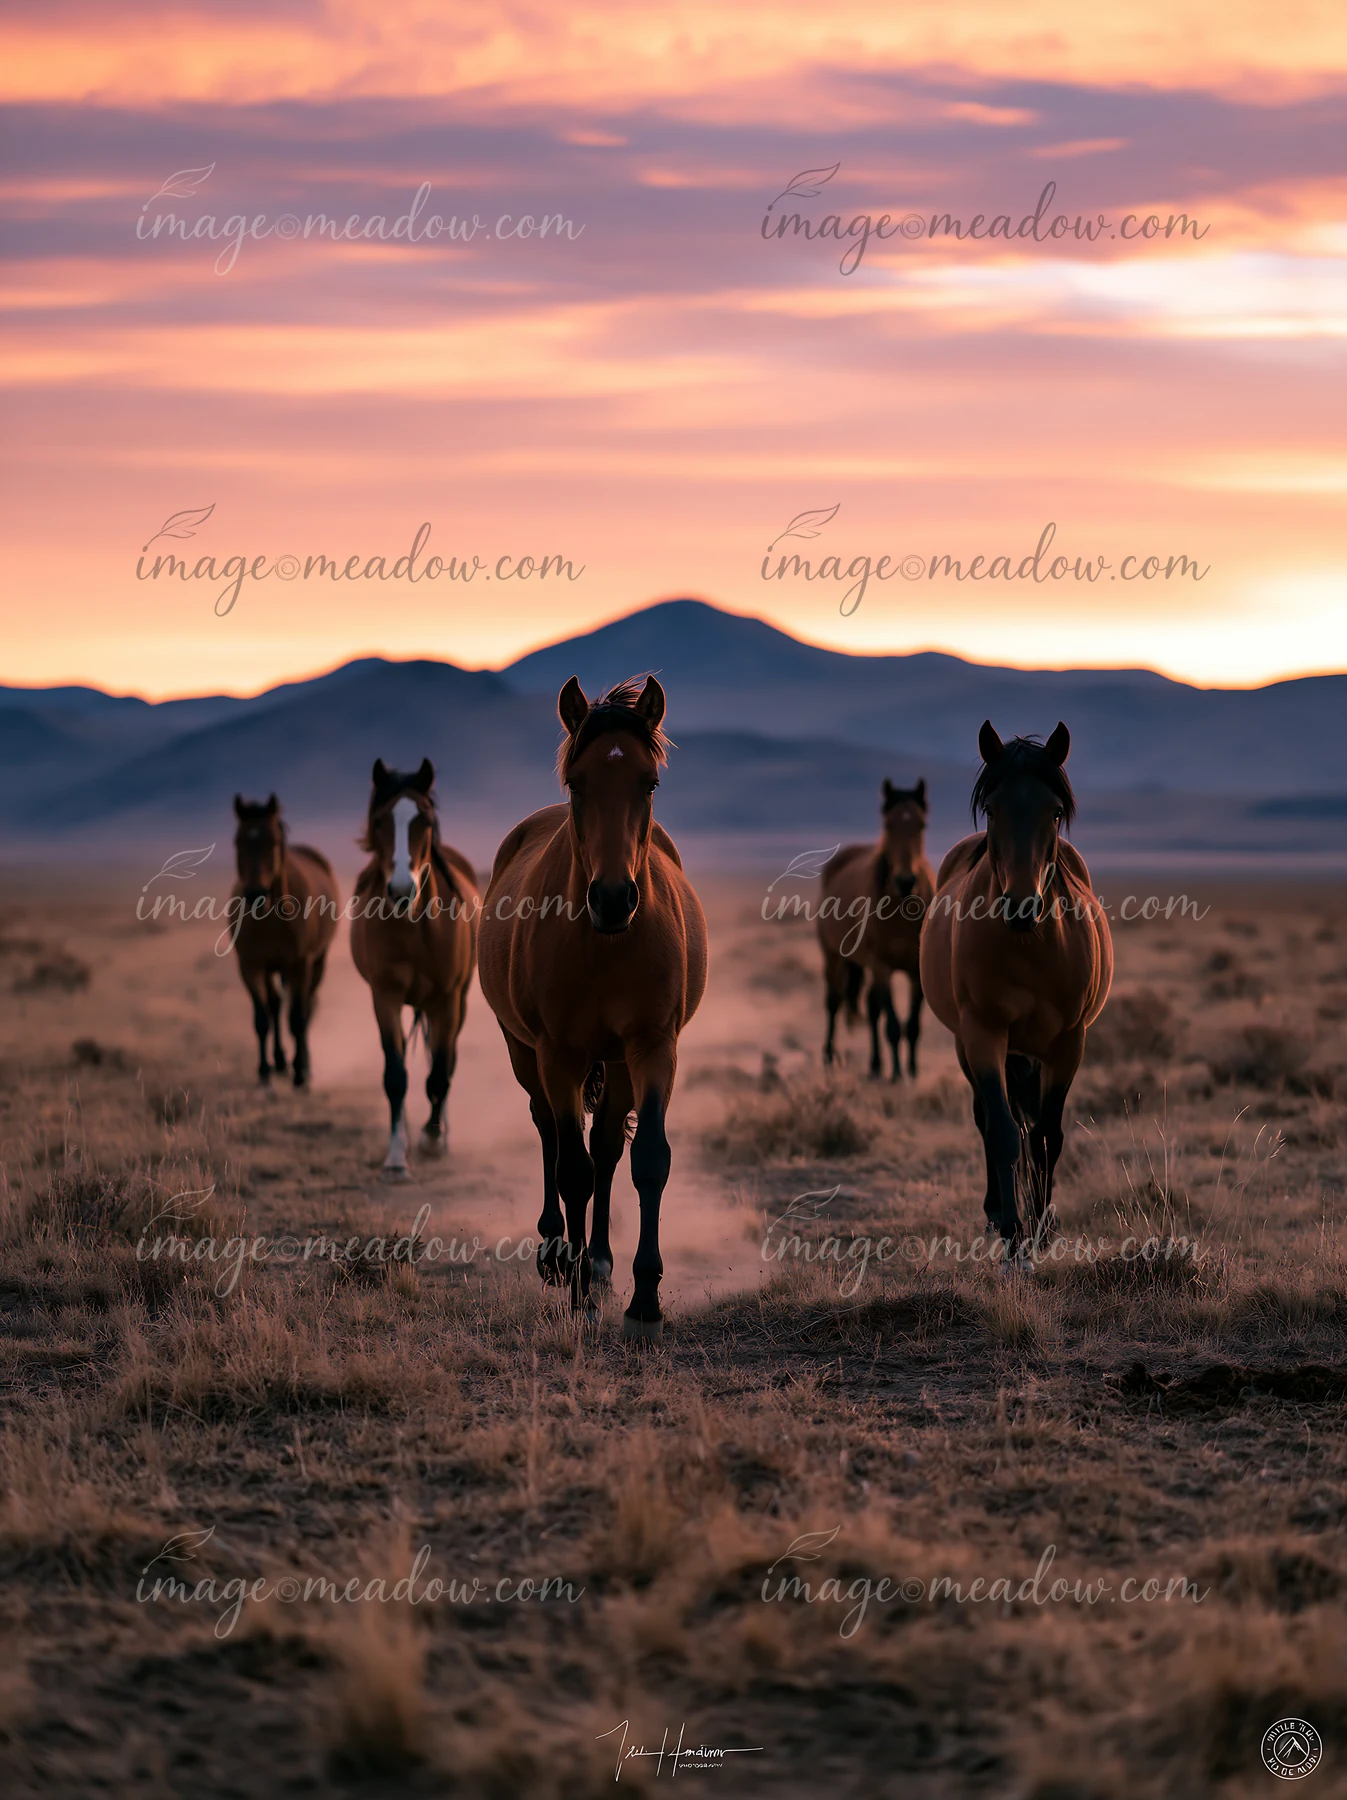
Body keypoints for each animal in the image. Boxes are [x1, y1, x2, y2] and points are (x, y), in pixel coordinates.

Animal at [230, 795, 339, 1088]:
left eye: (273, 841)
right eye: (238, 841)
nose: (255, 893)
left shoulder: (301, 964)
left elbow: (298, 1017)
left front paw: (300, 1071)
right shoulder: (250, 966)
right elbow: (262, 1019)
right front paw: (264, 1072)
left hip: (317, 963)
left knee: (306, 1005)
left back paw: (302, 1064)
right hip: (273, 968)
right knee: (276, 1004)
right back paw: (279, 1061)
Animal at [349, 759, 479, 1177]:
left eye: (424, 819)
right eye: (379, 821)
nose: (402, 890)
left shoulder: (447, 1001)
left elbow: (439, 1073)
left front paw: (433, 1138)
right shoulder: (384, 998)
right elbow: (395, 1075)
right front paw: (396, 1155)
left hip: (458, 1002)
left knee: (447, 1060)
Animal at [478, 675, 708, 1339]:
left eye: (648, 783)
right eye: (577, 783)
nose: (611, 897)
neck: (605, 943)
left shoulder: (652, 1047)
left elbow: (645, 1160)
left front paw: (643, 1302)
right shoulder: (559, 1053)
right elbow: (572, 1168)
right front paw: (576, 1294)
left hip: (621, 1062)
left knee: (606, 1147)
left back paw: (602, 1265)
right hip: (524, 1051)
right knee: (550, 1133)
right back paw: (559, 1255)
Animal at [818, 778, 935, 1079]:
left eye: (921, 825)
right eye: (888, 825)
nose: (905, 881)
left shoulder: (915, 970)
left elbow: (912, 1025)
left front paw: (912, 1072)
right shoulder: (882, 966)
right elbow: (893, 1025)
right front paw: (897, 1075)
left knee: (871, 1009)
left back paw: (874, 1065)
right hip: (832, 956)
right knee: (834, 1002)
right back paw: (829, 1057)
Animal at [919, 722, 1112, 1266]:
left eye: (1054, 811)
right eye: (993, 809)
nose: (1022, 906)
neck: (1031, 947)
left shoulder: (1069, 1044)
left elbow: (1046, 1137)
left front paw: (1043, 1231)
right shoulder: (983, 1034)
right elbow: (1004, 1133)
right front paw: (1012, 1236)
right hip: (971, 1045)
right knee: (987, 1119)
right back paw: (993, 1213)